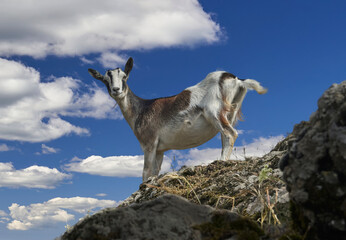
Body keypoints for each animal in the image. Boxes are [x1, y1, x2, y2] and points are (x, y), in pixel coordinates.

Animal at [88, 58, 266, 181]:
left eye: (124, 76)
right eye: (105, 80)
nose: (116, 90)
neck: (142, 109)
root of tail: (236, 80)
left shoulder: (149, 143)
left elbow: (145, 173)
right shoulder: (160, 150)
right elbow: (154, 172)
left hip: (214, 112)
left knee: (230, 133)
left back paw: (220, 162)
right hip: (230, 113)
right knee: (226, 136)